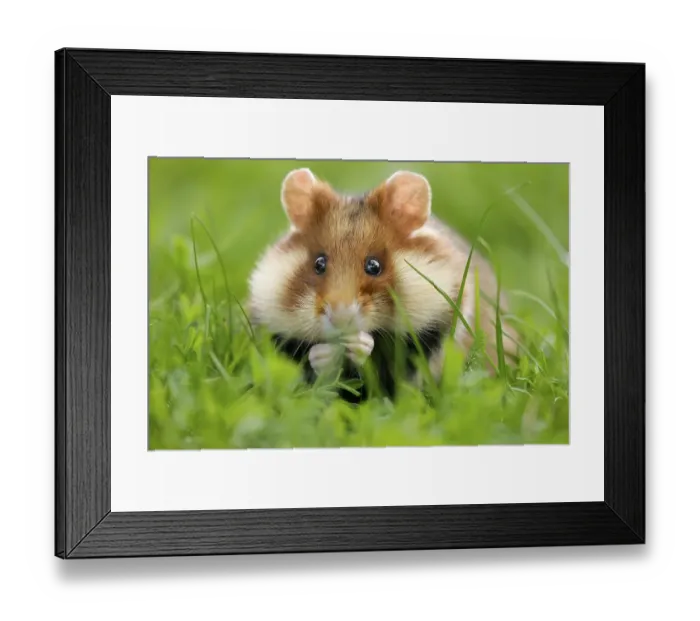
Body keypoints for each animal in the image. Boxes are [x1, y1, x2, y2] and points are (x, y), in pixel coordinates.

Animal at [248, 168, 517, 402]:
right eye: (319, 264)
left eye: (374, 265)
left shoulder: (430, 335)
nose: (341, 317)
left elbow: (387, 359)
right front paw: (324, 353)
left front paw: (359, 344)